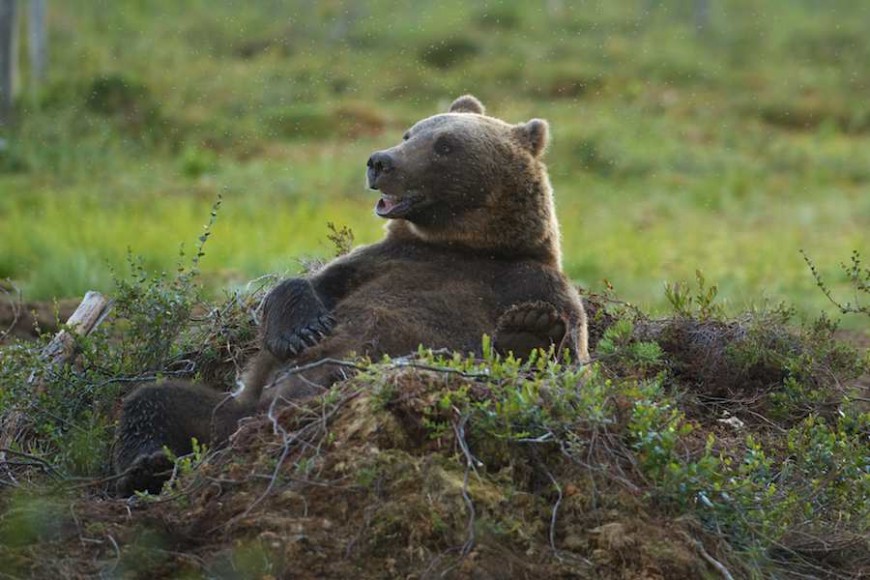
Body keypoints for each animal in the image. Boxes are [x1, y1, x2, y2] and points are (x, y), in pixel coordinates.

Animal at [114, 95, 584, 494]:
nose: (380, 161)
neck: (463, 247)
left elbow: (572, 361)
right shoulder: (384, 261)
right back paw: (145, 467)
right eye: (410, 133)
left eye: (445, 145)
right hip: (229, 411)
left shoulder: (527, 280)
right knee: (153, 401)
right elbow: (309, 285)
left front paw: (531, 329)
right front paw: (301, 330)